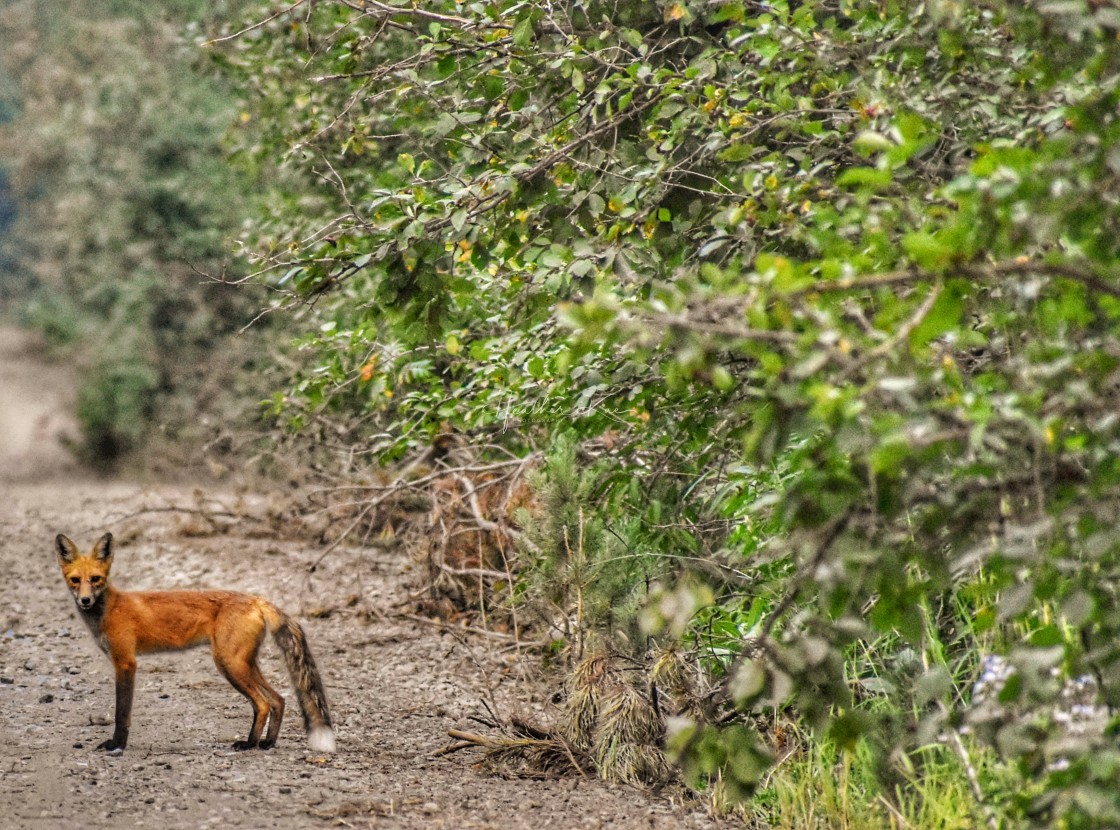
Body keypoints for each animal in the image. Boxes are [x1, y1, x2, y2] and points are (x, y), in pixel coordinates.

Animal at [55, 533, 336, 752]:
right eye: (75, 580)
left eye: (96, 579)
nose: (85, 601)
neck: (109, 609)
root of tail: (256, 599)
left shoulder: (126, 662)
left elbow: (121, 713)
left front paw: (117, 745)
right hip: (244, 663)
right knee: (279, 700)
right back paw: (267, 743)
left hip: (229, 664)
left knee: (264, 703)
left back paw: (249, 744)